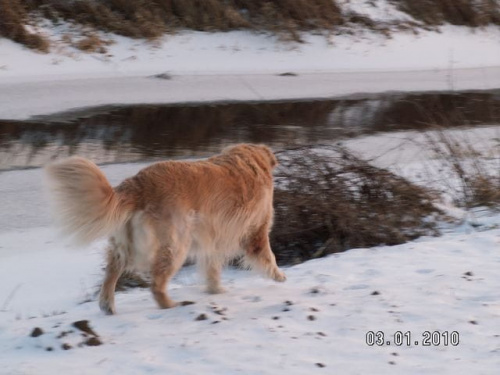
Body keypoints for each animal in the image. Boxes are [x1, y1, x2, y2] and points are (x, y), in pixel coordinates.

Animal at [45, 144, 288, 314]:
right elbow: (268, 256)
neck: (251, 161)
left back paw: (107, 305)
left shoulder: (212, 239)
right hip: (175, 244)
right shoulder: (255, 231)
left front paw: (216, 290)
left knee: (112, 270)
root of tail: (138, 183)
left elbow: (212, 267)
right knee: (157, 284)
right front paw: (279, 277)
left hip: (127, 244)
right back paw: (170, 305)